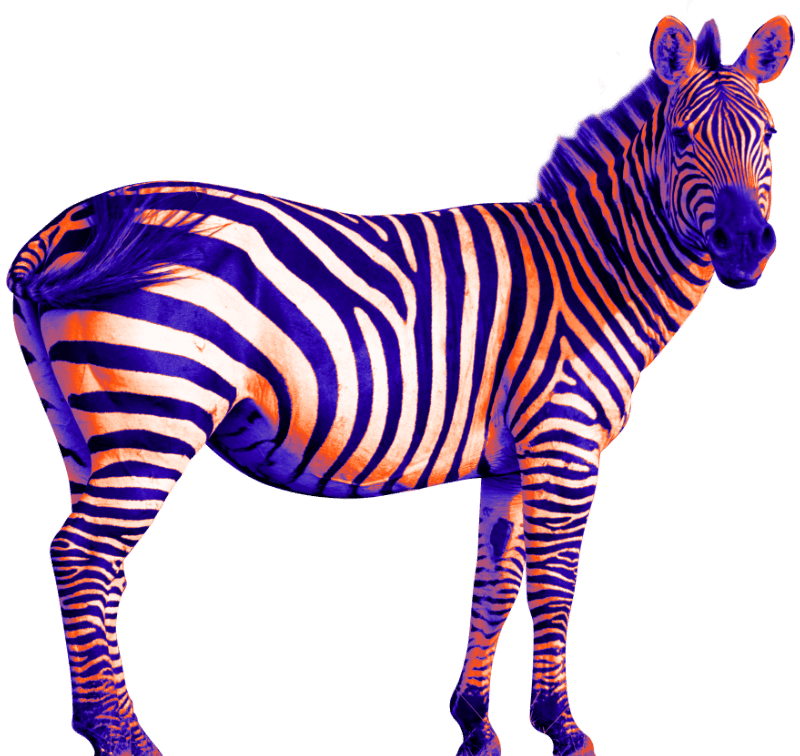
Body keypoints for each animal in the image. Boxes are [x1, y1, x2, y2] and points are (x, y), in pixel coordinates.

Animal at [6, 13, 792, 756]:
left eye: (771, 135)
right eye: (683, 138)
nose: (746, 244)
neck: (593, 269)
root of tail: (78, 219)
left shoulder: (509, 461)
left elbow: (495, 584)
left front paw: (475, 725)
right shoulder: (564, 440)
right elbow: (555, 583)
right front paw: (563, 728)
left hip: (84, 429)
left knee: (94, 567)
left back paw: (100, 724)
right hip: (156, 411)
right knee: (84, 557)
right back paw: (123, 738)